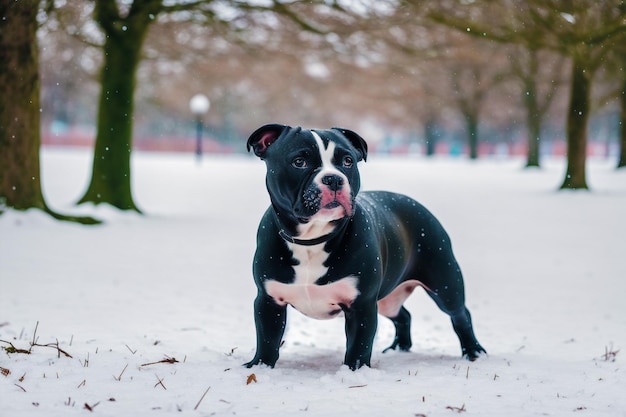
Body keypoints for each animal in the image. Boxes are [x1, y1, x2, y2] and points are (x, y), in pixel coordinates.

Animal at [244, 123, 482, 368]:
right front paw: (260, 366)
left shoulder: (362, 305)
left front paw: (354, 370)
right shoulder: (268, 301)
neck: (312, 239)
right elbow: (267, 338)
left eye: (348, 161)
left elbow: (359, 344)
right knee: (403, 315)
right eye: (299, 161)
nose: (334, 178)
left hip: (445, 281)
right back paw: (400, 348)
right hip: (389, 299)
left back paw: (473, 351)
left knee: (460, 314)